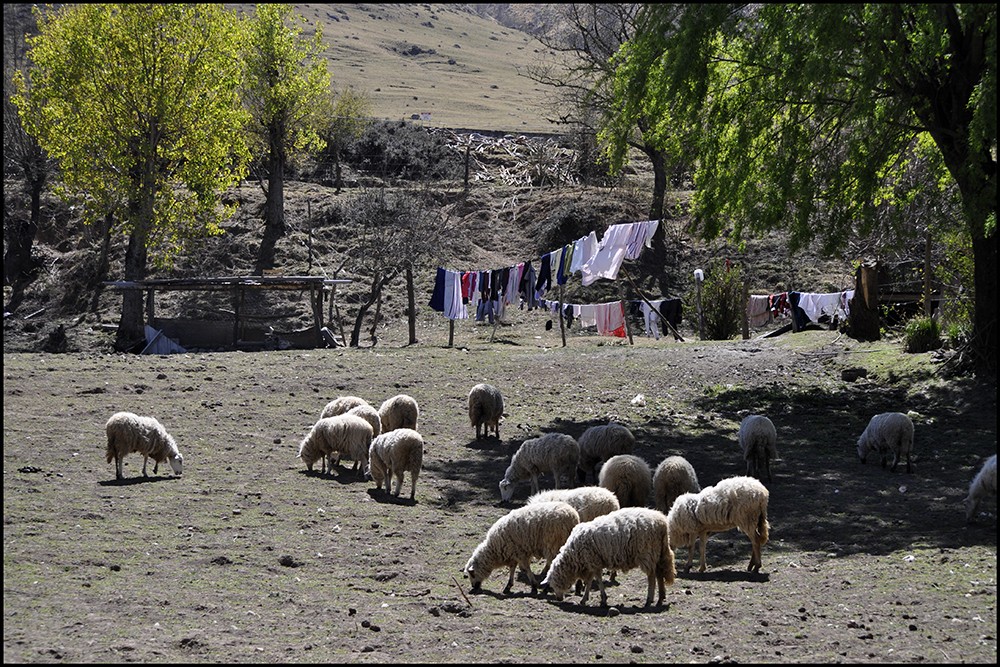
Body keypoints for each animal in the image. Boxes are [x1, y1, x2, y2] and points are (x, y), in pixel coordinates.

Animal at [544, 506, 676, 612]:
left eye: (553, 584)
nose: (558, 598)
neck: (573, 555)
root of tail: (662, 523)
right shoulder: (591, 563)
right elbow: (590, 581)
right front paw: (584, 599)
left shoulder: (593, 561)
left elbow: (597, 580)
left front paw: (603, 600)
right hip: (658, 553)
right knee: (659, 574)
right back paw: (660, 598)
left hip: (647, 553)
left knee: (652, 577)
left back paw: (649, 600)